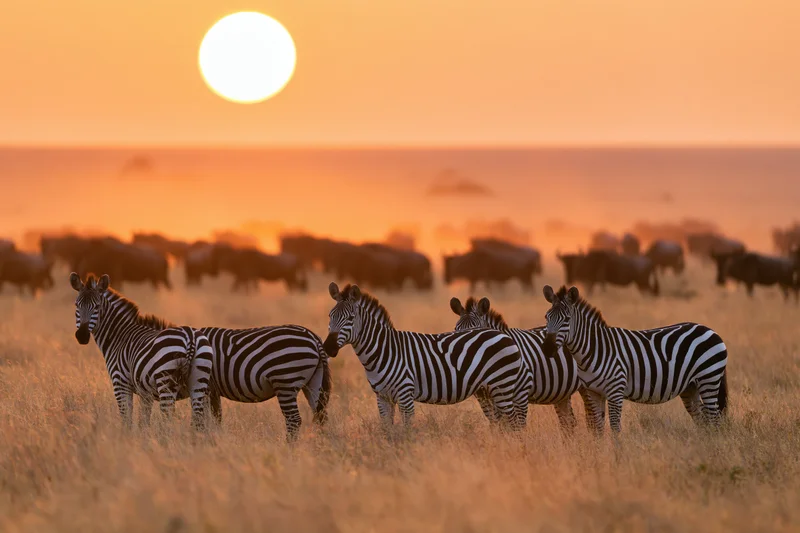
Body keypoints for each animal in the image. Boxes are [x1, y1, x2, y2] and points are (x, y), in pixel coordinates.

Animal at [71, 272, 213, 430]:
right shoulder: (146, 393)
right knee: (197, 419)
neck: (119, 336)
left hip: (165, 382)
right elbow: (143, 421)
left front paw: (126, 435)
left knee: (167, 418)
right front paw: (143, 436)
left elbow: (126, 418)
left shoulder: (120, 384)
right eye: (77, 305)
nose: (82, 336)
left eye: (97, 306)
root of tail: (190, 337)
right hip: (199, 381)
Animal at [195, 324, 333, 441]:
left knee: (294, 419)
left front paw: (202, 441)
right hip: (314, 382)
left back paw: (288, 449)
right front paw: (215, 439)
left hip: (286, 381)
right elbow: (215, 418)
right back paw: (321, 447)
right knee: (321, 416)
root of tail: (313, 337)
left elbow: (202, 418)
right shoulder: (213, 390)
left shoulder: (206, 386)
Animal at [324, 282, 526, 429]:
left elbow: (406, 431)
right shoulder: (382, 397)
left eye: (350, 319)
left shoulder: (405, 395)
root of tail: (503, 334)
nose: (328, 347)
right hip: (487, 390)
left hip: (502, 385)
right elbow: (387, 431)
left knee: (514, 424)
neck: (382, 351)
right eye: (330, 316)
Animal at [450, 296, 582, 433]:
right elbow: (496, 424)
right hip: (562, 393)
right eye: (455, 330)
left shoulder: (520, 393)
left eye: (477, 332)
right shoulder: (484, 397)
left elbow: (516, 425)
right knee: (568, 421)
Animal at [542, 285, 728, 434]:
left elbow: (615, 427)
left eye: (567, 319)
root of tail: (709, 329)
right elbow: (598, 428)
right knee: (702, 418)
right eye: (546, 317)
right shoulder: (593, 392)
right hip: (691, 387)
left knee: (714, 418)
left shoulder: (615, 390)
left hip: (709, 378)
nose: (547, 348)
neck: (593, 350)